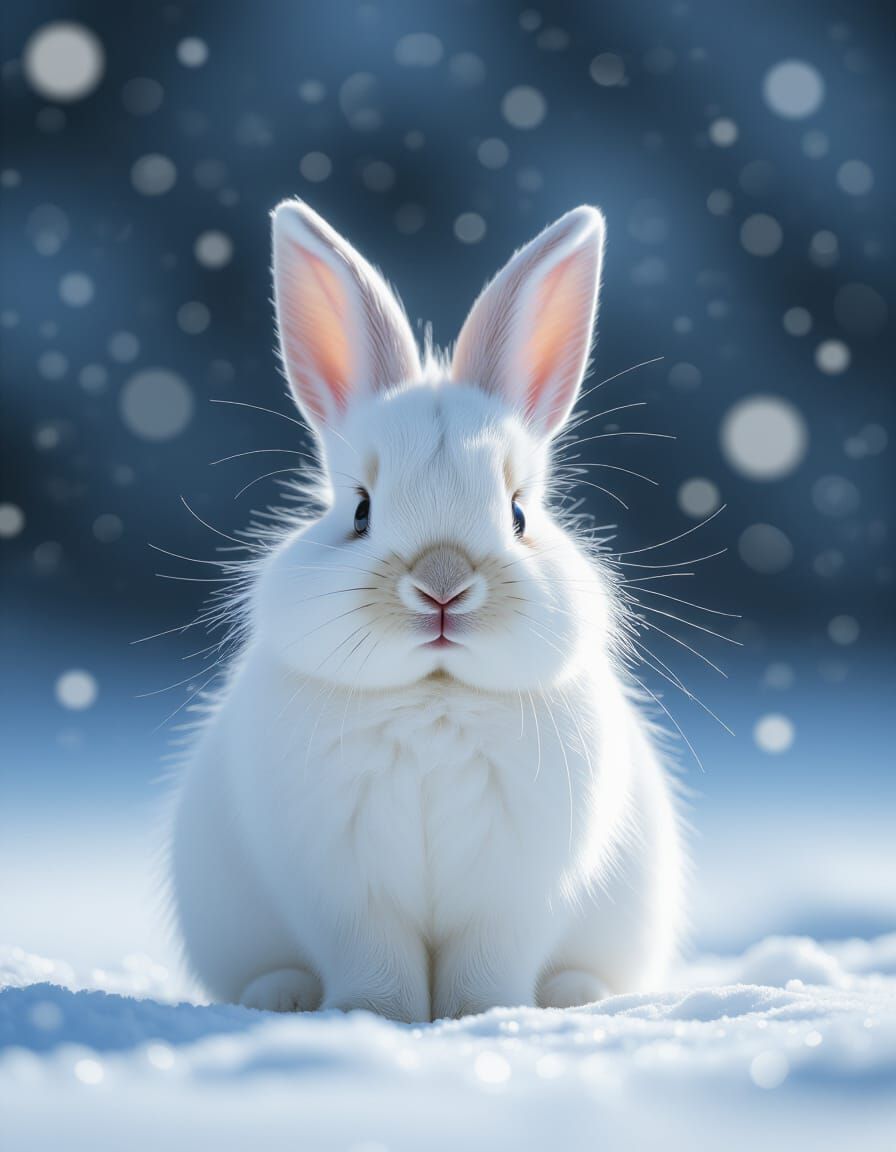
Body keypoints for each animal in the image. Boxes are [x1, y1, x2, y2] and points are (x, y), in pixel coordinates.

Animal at [169, 199, 685, 1021]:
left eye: (518, 514)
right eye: (359, 512)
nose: (443, 585)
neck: (435, 697)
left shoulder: (514, 895)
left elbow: (487, 962)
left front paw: (484, 1016)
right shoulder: (346, 894)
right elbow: (376, 960)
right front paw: (374, 1017)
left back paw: (575, 996)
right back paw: (281, 997)